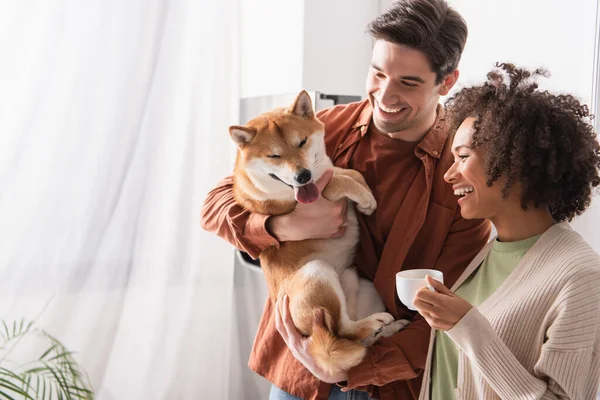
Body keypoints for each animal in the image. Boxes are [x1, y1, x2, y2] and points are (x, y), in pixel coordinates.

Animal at [230, 90, 408, 378]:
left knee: (354, 338)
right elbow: (341, 180)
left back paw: (389, 328)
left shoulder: (327, 168)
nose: (302, 176)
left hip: (365, 287)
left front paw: (365, 195)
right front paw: (365, 199)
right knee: (345, 330)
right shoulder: (317, 193)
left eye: (302, 142)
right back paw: (376, 324)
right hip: (317, 272)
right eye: (274, 156)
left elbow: (349, 172)